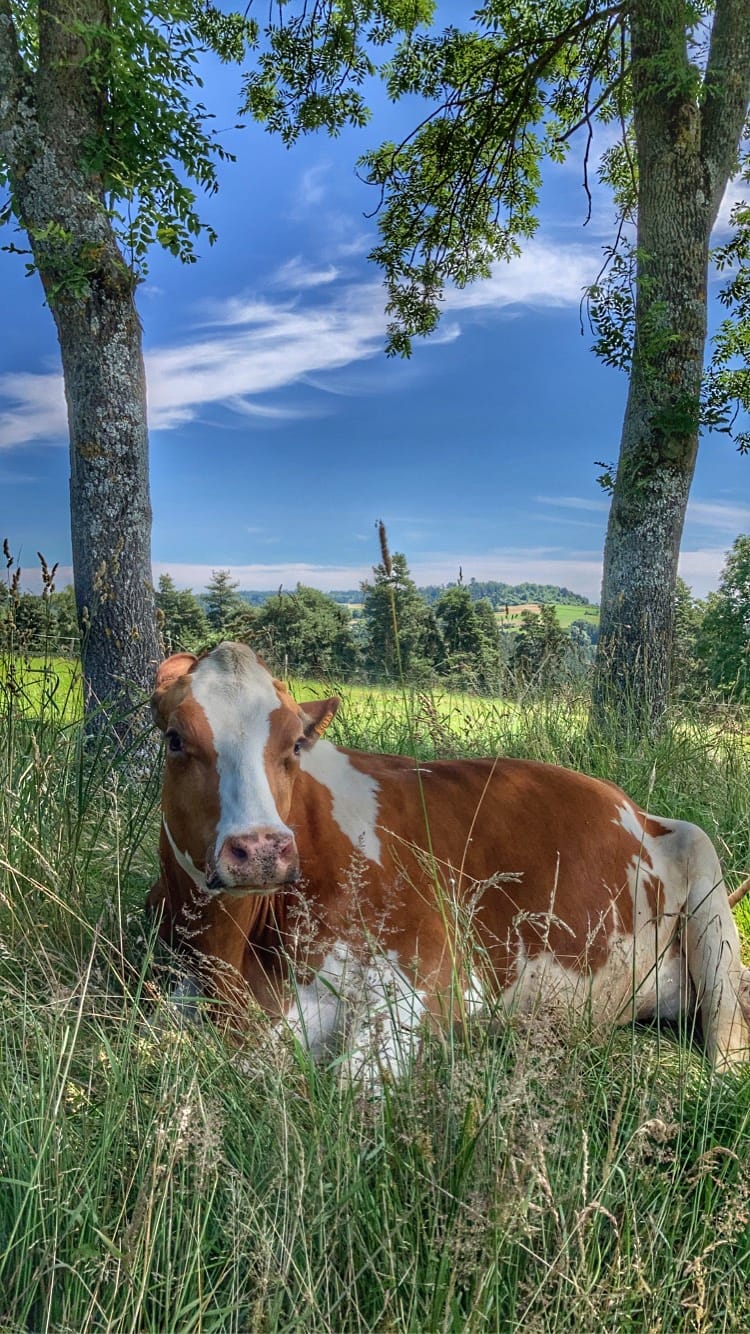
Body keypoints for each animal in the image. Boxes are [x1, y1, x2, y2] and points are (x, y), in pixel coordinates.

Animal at [146, 642, 750, 1076]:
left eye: (295, 745)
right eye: (175, 740)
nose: (261, 850)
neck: (231, 954)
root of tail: (634, 806)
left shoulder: (434, 976)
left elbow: (355, 1093)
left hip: (704, 869)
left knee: (728, 1037)